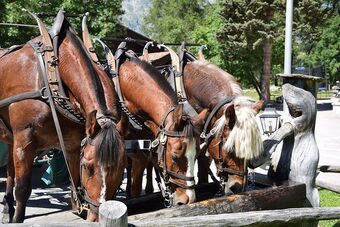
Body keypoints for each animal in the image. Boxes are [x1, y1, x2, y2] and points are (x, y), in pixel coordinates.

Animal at [0, 10, 125, 222]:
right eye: (89, 167)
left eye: (120, 168)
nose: (97, 216)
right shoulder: (24, 139)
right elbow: (22, 188)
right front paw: (17, 218)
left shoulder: (73, 144)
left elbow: (74, 183)